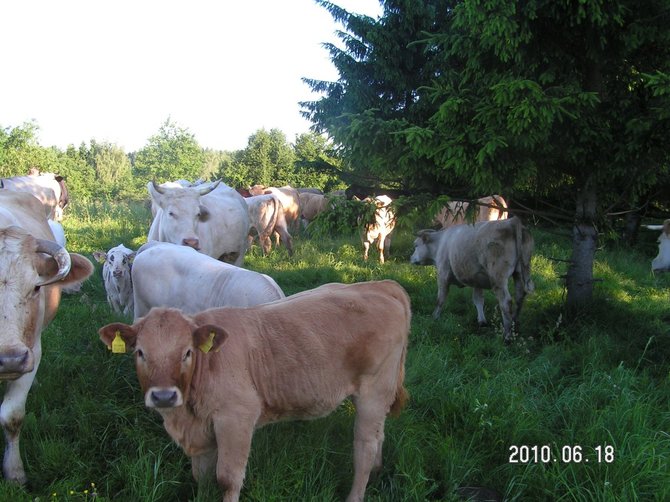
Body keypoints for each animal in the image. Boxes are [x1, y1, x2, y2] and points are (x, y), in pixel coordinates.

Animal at [100, 280, 412, 500]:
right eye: (140, 353)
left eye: (187, 352)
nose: (163, 396)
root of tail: (381, 285)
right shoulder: (200, 430)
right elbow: (201, 476)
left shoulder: (237, 417)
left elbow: (227, 478)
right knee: (378, 436)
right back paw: (377, 471)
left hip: (373, 391)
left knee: (364, 447)